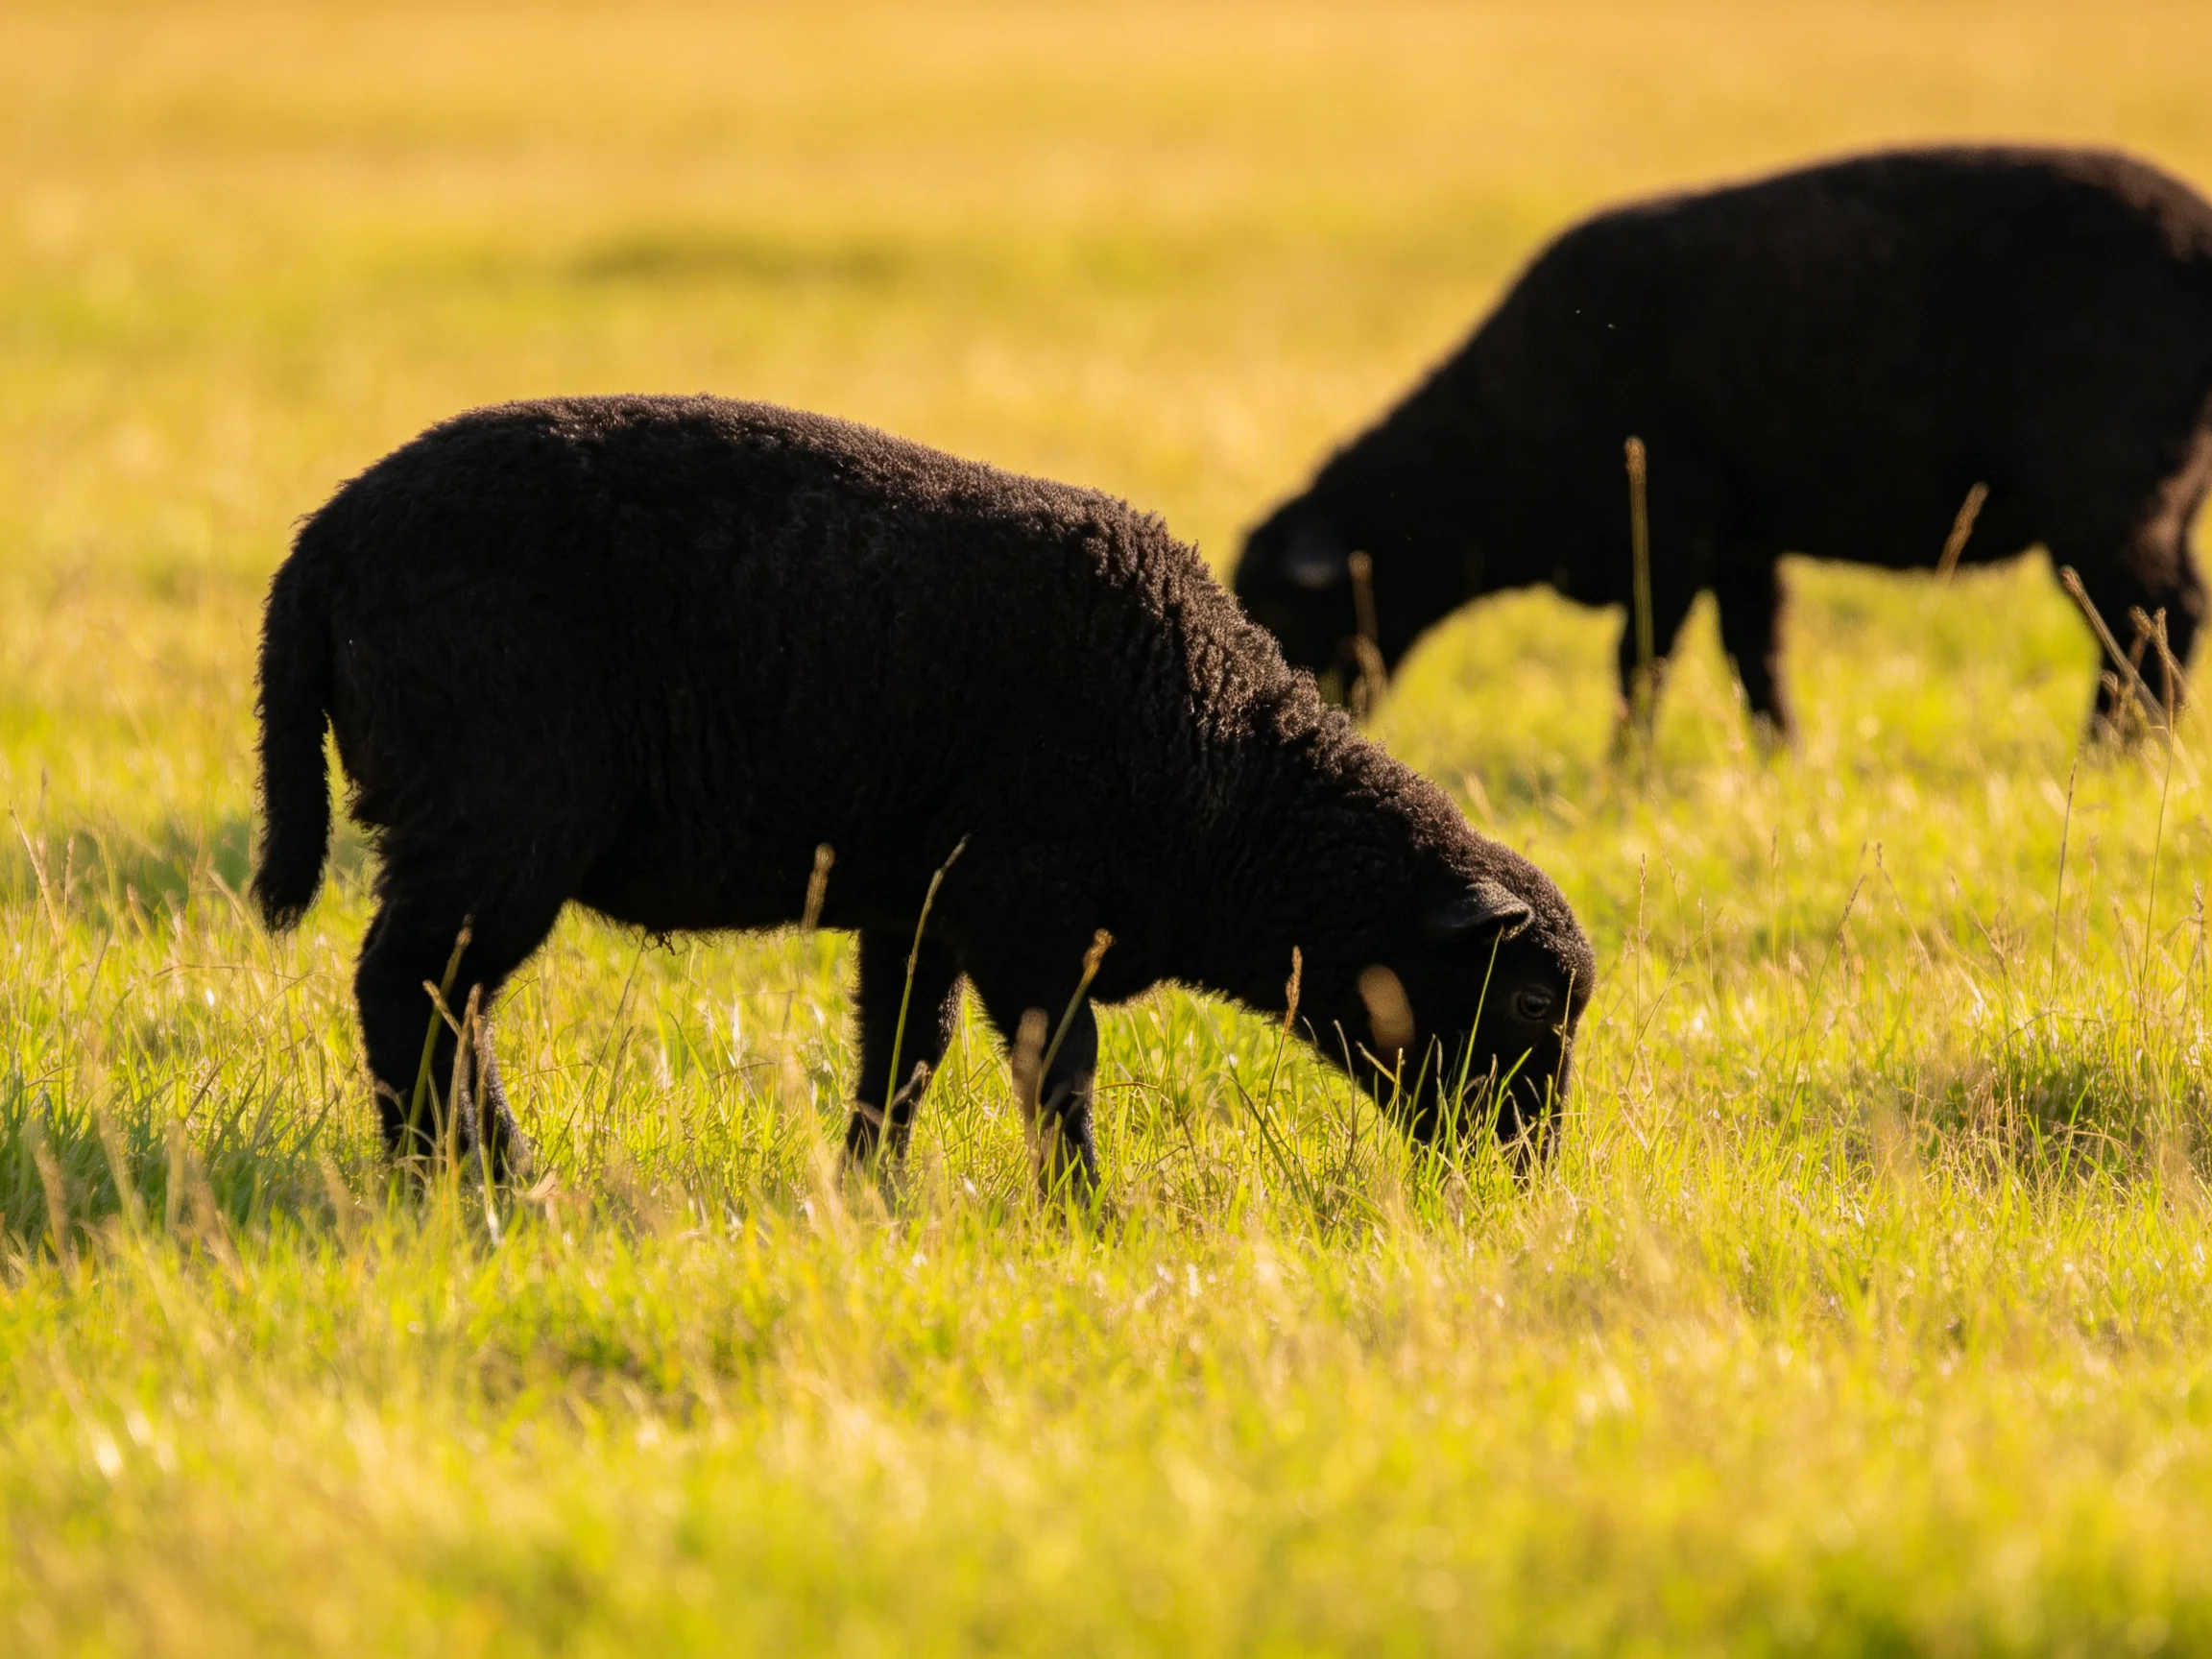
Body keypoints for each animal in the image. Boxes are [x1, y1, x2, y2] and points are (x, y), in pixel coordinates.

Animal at [253, 395, 1595, 1191]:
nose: (1526, 1179)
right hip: (496, 814)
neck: (1230, 779)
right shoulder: (1029, 908)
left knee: (449, 999)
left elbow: (904, 1051)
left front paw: (870, 1191)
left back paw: (486, 1172)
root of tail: (322, 545)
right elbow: (1060, 1064)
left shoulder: (923, 908)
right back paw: (458, 1181)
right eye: (1530, 1003)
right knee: (412, 989)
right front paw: (1086, 1215)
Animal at [1234, 146, 2212, 739]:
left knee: (2154, 619)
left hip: (2107, 486)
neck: (1493, 447)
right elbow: (1756, 657)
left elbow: (1641, 662)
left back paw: (2111, 751)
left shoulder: (1666, 532)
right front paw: (1783, 761)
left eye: (1280, 610)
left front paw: (1625, 775)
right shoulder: (1744, 540)